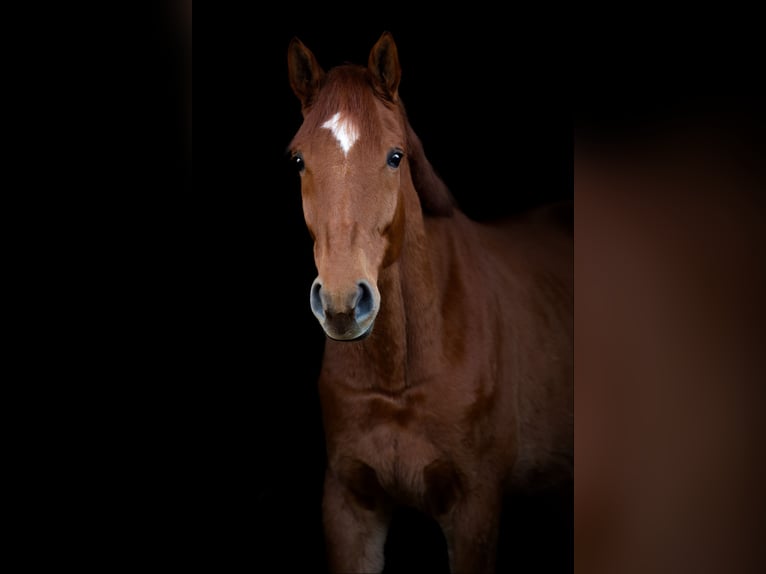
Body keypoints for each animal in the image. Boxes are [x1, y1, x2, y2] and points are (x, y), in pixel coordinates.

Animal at [290, 32, 576, 574]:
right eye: (297, 159)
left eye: (395, 156)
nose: (342, 301)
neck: (398, 377)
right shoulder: (349, 507)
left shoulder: (475, 508)